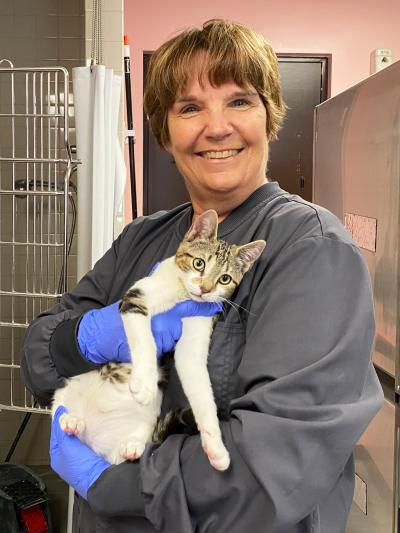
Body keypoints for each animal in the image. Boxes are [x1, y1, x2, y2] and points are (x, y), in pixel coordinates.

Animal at [53, 211, 266, 470]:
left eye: (225, 279)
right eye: (199, 263)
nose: (205, 289)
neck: (183, 296)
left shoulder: (197, 331)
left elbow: (201, 390)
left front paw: (215, 445)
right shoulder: (136, 298)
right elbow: (146, 341)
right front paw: (144, 382)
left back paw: (131, 446)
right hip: (65, 392)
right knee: (60, 409)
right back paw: (71, 420)